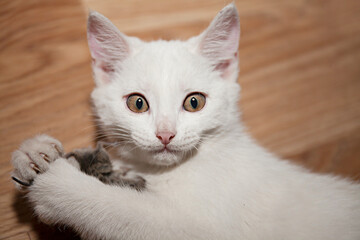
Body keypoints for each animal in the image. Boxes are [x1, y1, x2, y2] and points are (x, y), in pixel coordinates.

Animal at [11, 3, 360, 240]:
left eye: (195, 102)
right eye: (137, 103)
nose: (166, 134)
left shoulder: (199, 229)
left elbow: (120, 211)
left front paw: (56, 185)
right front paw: (35, 153)